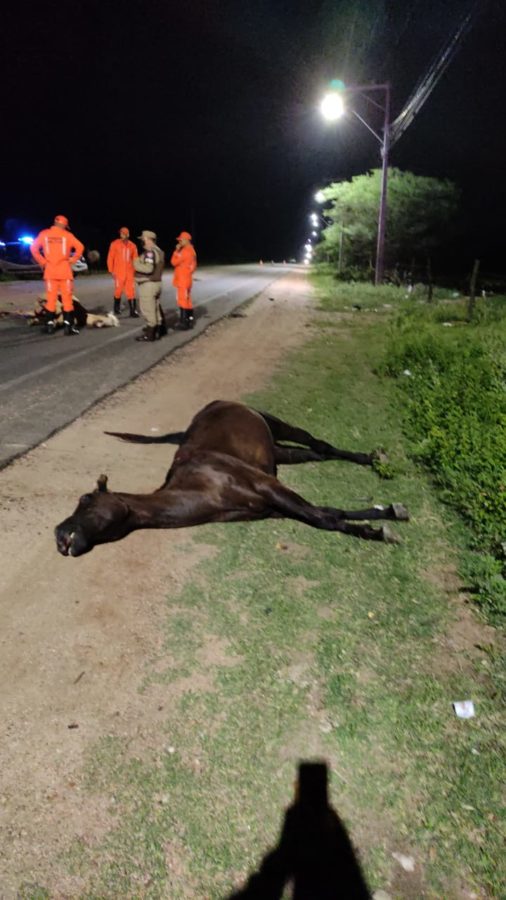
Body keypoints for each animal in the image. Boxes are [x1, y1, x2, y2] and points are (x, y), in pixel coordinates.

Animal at [55, 400, 410, 556]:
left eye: (85, 499)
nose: (59, 535)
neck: (204, 488)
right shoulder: (271, 507)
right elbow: (329, 512)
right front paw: (387, 514)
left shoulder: (269, 487)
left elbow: (324, 518)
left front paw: (378, 531)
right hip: (278, 451)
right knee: (316, 454)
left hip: (276, 424)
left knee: (317, 443)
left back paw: (373, 459)